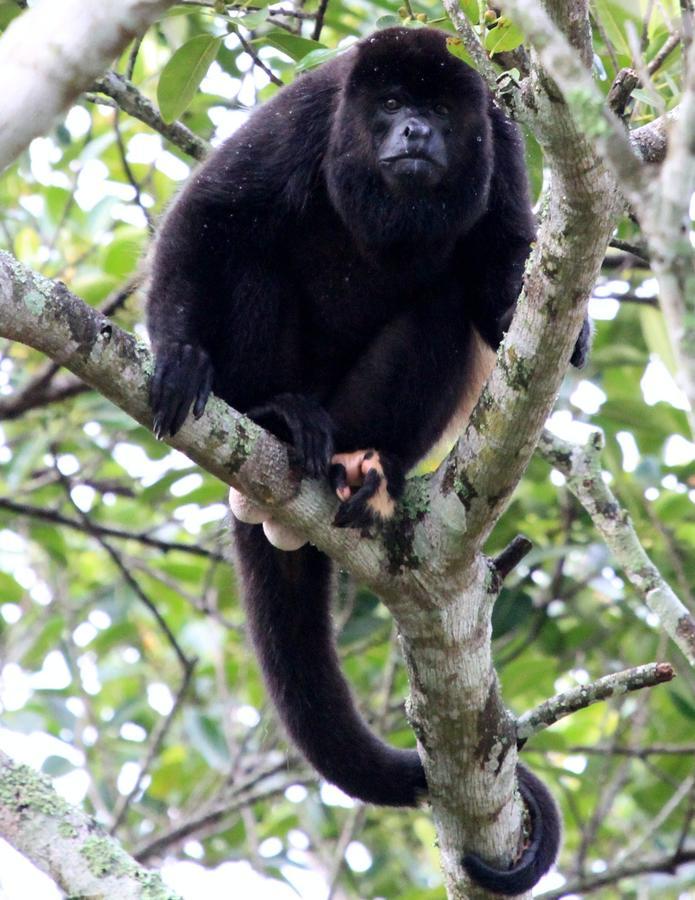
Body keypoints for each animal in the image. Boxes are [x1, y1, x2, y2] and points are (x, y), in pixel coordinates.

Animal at [148, 24, 588, 896]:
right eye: (388, 102)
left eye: (439, 111)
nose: (413, 130)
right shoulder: (307, 113)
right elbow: (207, 216)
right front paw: (178, 354)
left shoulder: (504, 146)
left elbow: (498, 278)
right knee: (252, 260)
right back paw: (276, 417)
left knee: (441, 306)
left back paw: (366, 465)